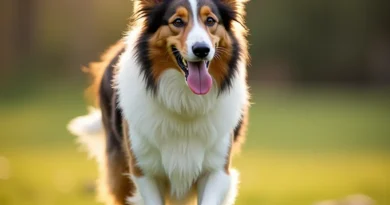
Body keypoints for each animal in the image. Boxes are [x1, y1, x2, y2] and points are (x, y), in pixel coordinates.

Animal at [68, 0, 248, 205]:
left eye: (210, 20)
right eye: (177, 21)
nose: (202, 50)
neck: (184, 100)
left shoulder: (217, 169)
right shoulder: (144, 171)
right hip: (119, 174)